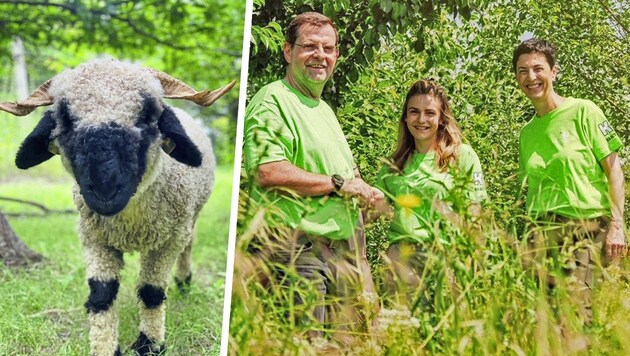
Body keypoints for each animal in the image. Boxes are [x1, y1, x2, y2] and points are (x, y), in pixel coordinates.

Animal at [0, 59, 236, 356]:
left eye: (148, 114)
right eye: (65, 118)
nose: (105, 190)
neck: (130, 223)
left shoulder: (168, 241)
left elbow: (151, 292)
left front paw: (150, 344)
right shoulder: (94, 238)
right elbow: (102, 294)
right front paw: (106, 347)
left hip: (189, 219)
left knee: (189, 244)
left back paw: (184, 282)